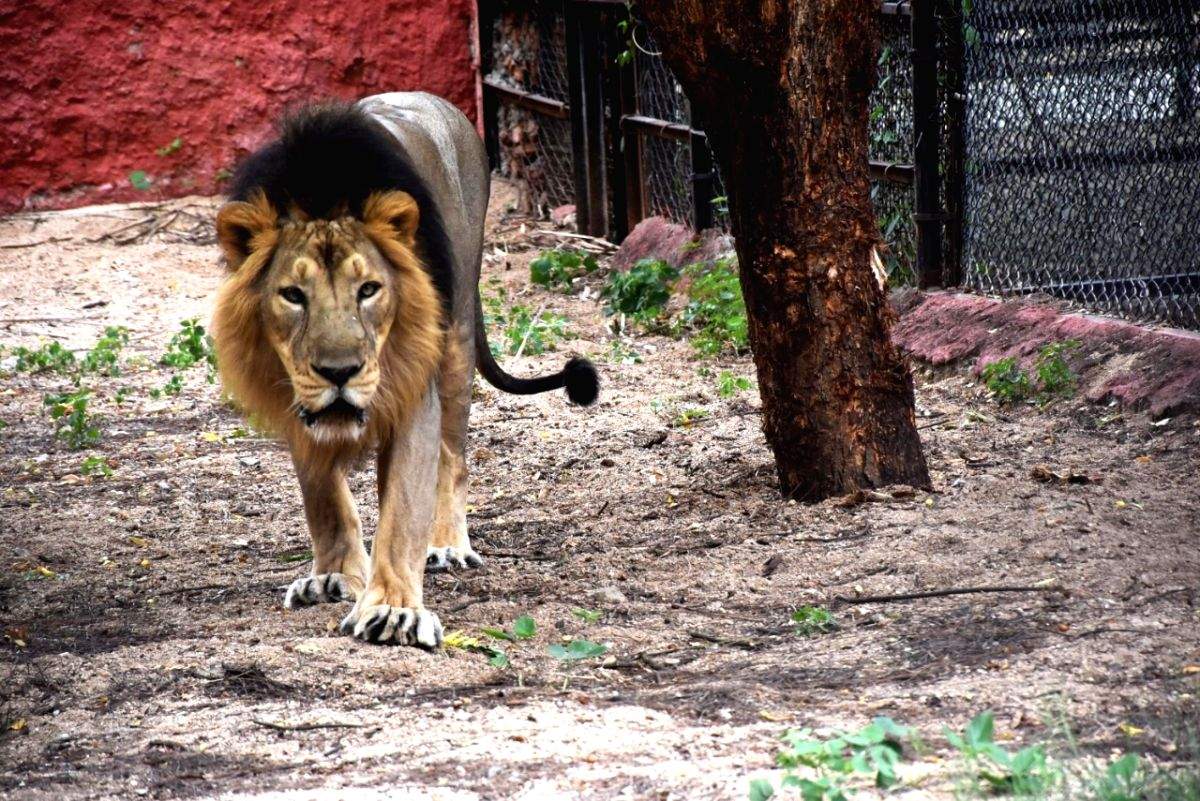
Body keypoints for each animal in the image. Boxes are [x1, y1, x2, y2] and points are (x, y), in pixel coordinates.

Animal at [212, 94, 597, 649]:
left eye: (369, 289)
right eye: (292, 295)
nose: (339, 372)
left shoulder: (415, 390)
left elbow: (402, 511)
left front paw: (394, 609)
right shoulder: (296, 402)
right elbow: (323, 498)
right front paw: (334, 576)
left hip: (455, 339)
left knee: (453, 457)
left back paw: (448, 545)